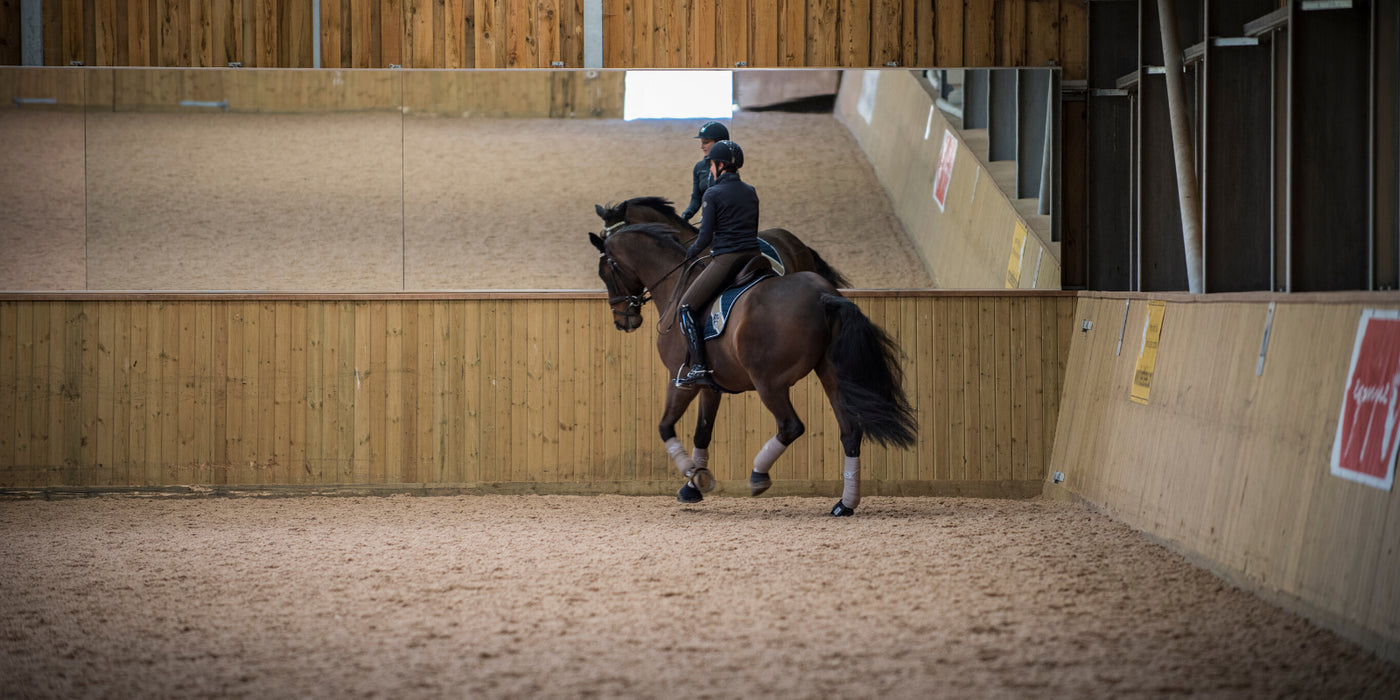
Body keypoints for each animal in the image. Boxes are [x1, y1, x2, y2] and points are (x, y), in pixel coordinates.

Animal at [589, 223, 916, 516]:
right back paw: (845, 504)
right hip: (831, 376)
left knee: (791, 426)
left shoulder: (680, 380)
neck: (676, 286)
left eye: (605, 272)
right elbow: (702, 434)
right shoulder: (710, 385)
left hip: (768, 383)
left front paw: (692, 475)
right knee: (849, 433)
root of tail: (823, 296)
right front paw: (693, 486)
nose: (623, 319)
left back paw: (759, 476)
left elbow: (665, 427)